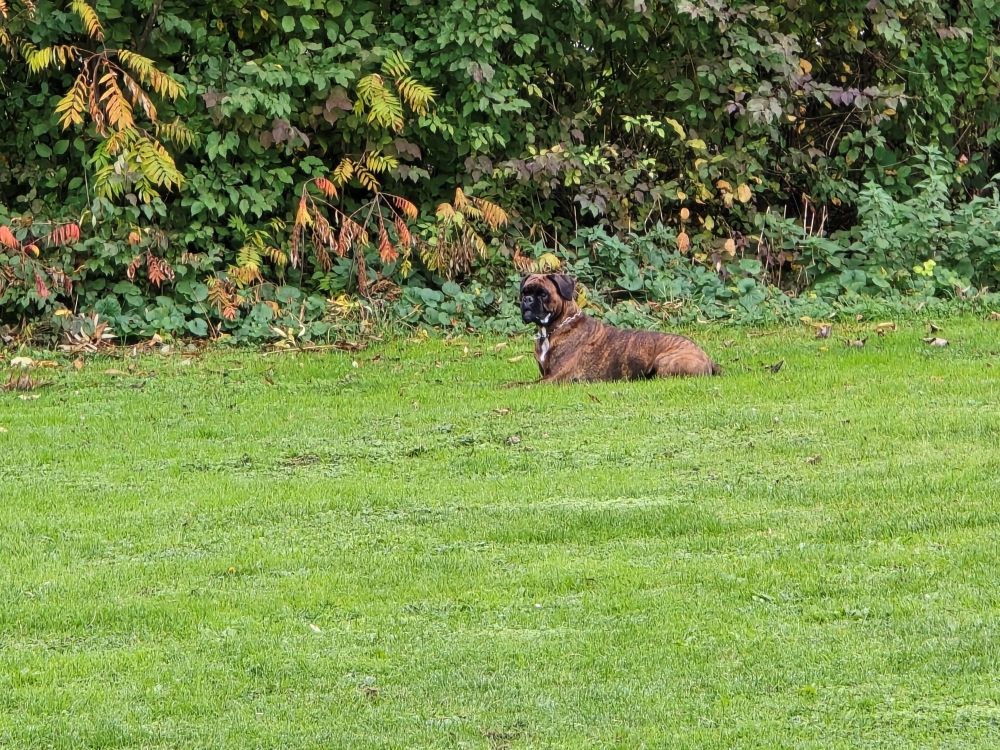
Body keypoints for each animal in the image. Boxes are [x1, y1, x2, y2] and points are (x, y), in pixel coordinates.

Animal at [520, 273, 721, 382]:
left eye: (543, 294)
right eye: (524, 292)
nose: (527, 300)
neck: (552, 330)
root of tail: (708, 357)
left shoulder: (553, 378)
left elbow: (520, 384)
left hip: (664, 361)